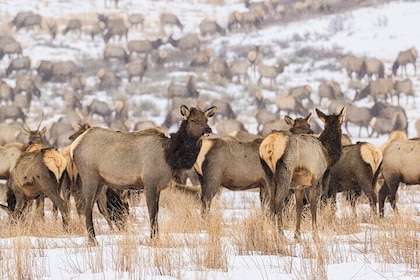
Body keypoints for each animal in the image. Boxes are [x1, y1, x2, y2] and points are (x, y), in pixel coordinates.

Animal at [69, 104, 217, 244]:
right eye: (193, 120)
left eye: (206, 119)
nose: (208, 130)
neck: (170, 157)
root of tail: (74, 147)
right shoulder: (149, 182)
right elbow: (152, 213)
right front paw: (153, 239)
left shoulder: (158, 187)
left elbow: (156, 213)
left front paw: (156, 238)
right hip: (89, 176)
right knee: (86, 207)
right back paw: (93, 240)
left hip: (100, 182)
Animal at [260, 106, 346, 238]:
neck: (327, 154)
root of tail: (270, 145)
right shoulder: (316, 179)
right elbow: (314, 205)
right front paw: (315, 234)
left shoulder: (299, 185)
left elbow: (299, 208)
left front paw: (297, 236)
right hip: (285, 171)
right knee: (279, 202)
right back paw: (282, 235)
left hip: (268, 173)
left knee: (271, 203)